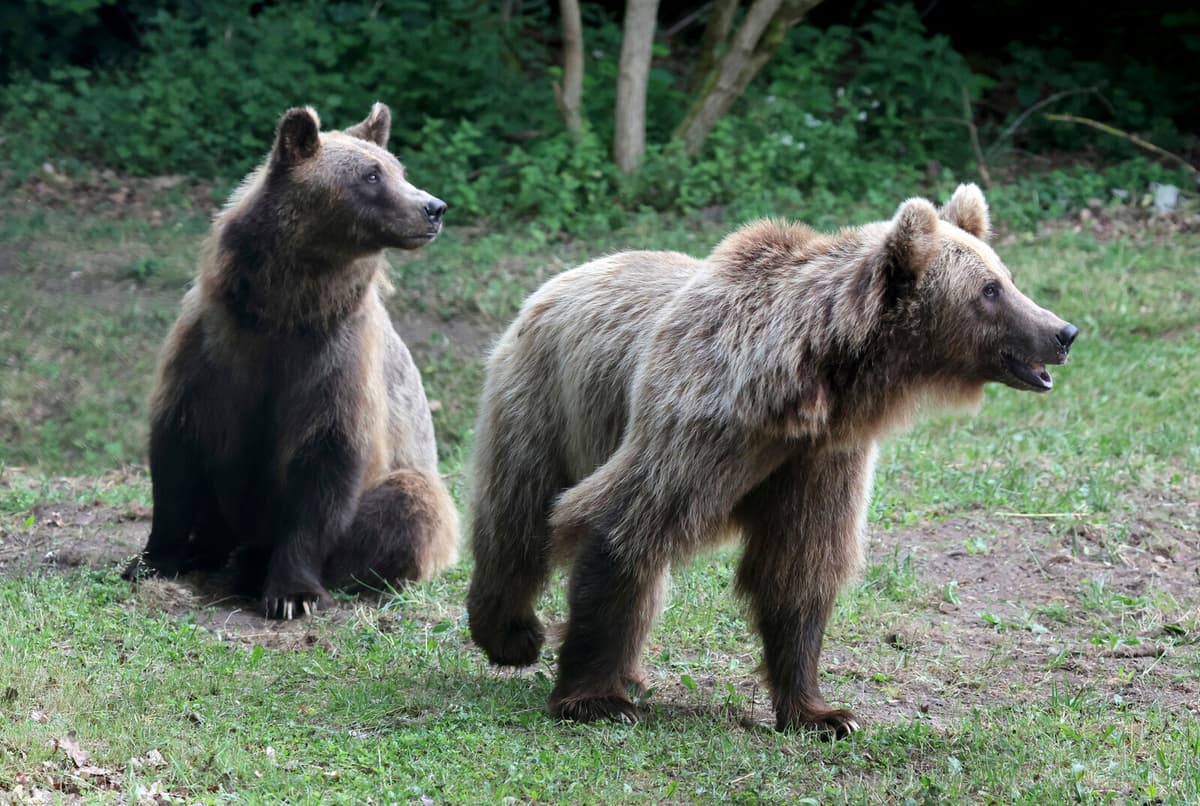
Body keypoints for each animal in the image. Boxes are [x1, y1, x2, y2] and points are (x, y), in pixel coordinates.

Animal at [123, 102, 459, 620]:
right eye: (372, 174)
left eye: (397, 169)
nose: (433, 207)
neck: (284, 308)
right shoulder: (212, 347)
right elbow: (178, 452)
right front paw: (152, 561)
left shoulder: (334, 361)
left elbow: (324, 465)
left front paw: (293, 594)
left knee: (411, 504)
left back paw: (251, 563)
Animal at [466, 184, 1077, 735]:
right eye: (990, 289)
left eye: (1008, 278)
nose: (1063, 331)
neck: (809, 385)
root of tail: (565, 275)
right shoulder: (702, 424)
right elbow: (620, 521)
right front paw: (593, 699)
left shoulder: (820, 457)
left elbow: (800, 564)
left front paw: (822, 713)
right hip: (545, 399)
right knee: (518, 513)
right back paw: (512, 634)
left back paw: (629, 669)